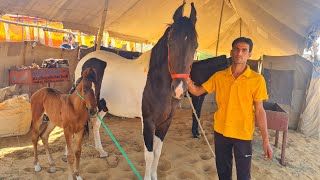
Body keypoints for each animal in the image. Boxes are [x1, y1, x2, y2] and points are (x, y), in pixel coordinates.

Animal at [73, 3, 198, 180]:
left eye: (195, 45)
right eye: (170, 42)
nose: (179, 89)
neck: (156, 82)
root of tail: (85, 59)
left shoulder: (166, 122)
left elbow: (158, 153)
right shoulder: (148, 122)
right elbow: (149, 155)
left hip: (102, 106)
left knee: (96, 125)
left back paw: (102, 152)